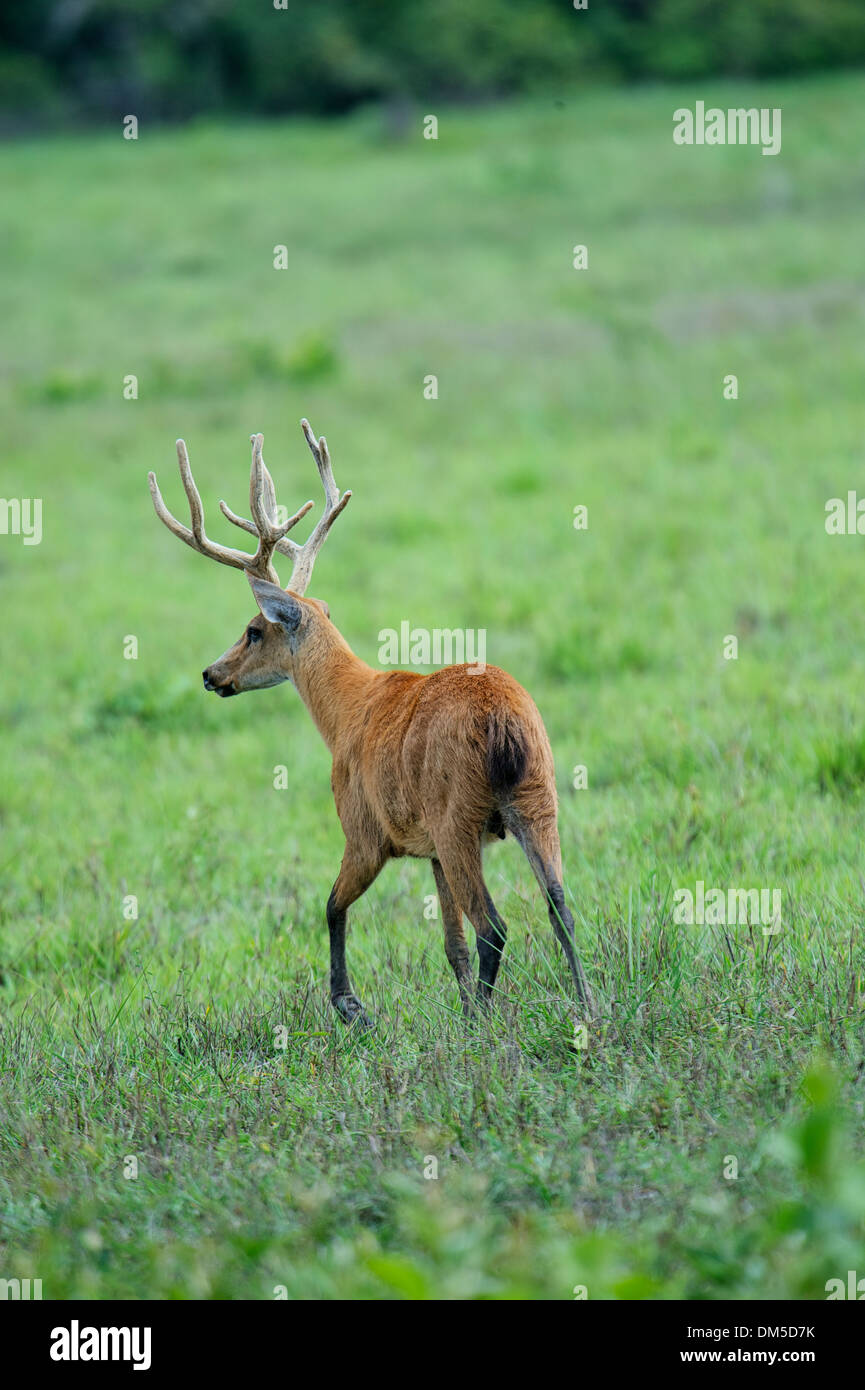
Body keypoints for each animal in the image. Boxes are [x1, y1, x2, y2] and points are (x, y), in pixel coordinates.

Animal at [150, 419, 595, 1023]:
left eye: (253, 630)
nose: (210, 674)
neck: (346, 714)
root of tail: (504, 722)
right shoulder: (429, 847)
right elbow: (450, 944)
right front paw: (452, 1006)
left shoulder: (364, 828)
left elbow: (331, 905)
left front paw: (348, 1004)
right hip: (538, 798)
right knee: (561, 910)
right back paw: (587, 1008)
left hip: (458, 814)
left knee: (495, 927)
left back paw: (488, 1023)